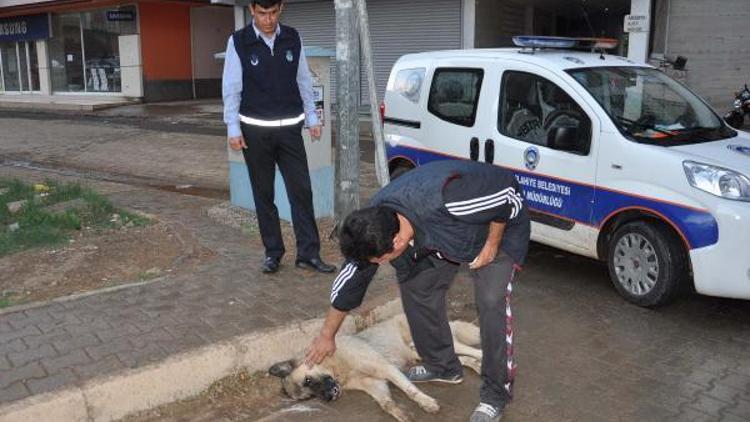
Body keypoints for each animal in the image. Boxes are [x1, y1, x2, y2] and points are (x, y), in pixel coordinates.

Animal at [268, 314, 482, 420]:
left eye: (308, 380)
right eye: (308, 397)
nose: (329, 397)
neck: (337, 366)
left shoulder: (386, 369)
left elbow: (410, 390)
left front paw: (426, 403)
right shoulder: (375, 384)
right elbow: (386, 404)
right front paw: (401, 414)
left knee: (472, 350)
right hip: (420, 353)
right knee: (461, 360)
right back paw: (476, 367)